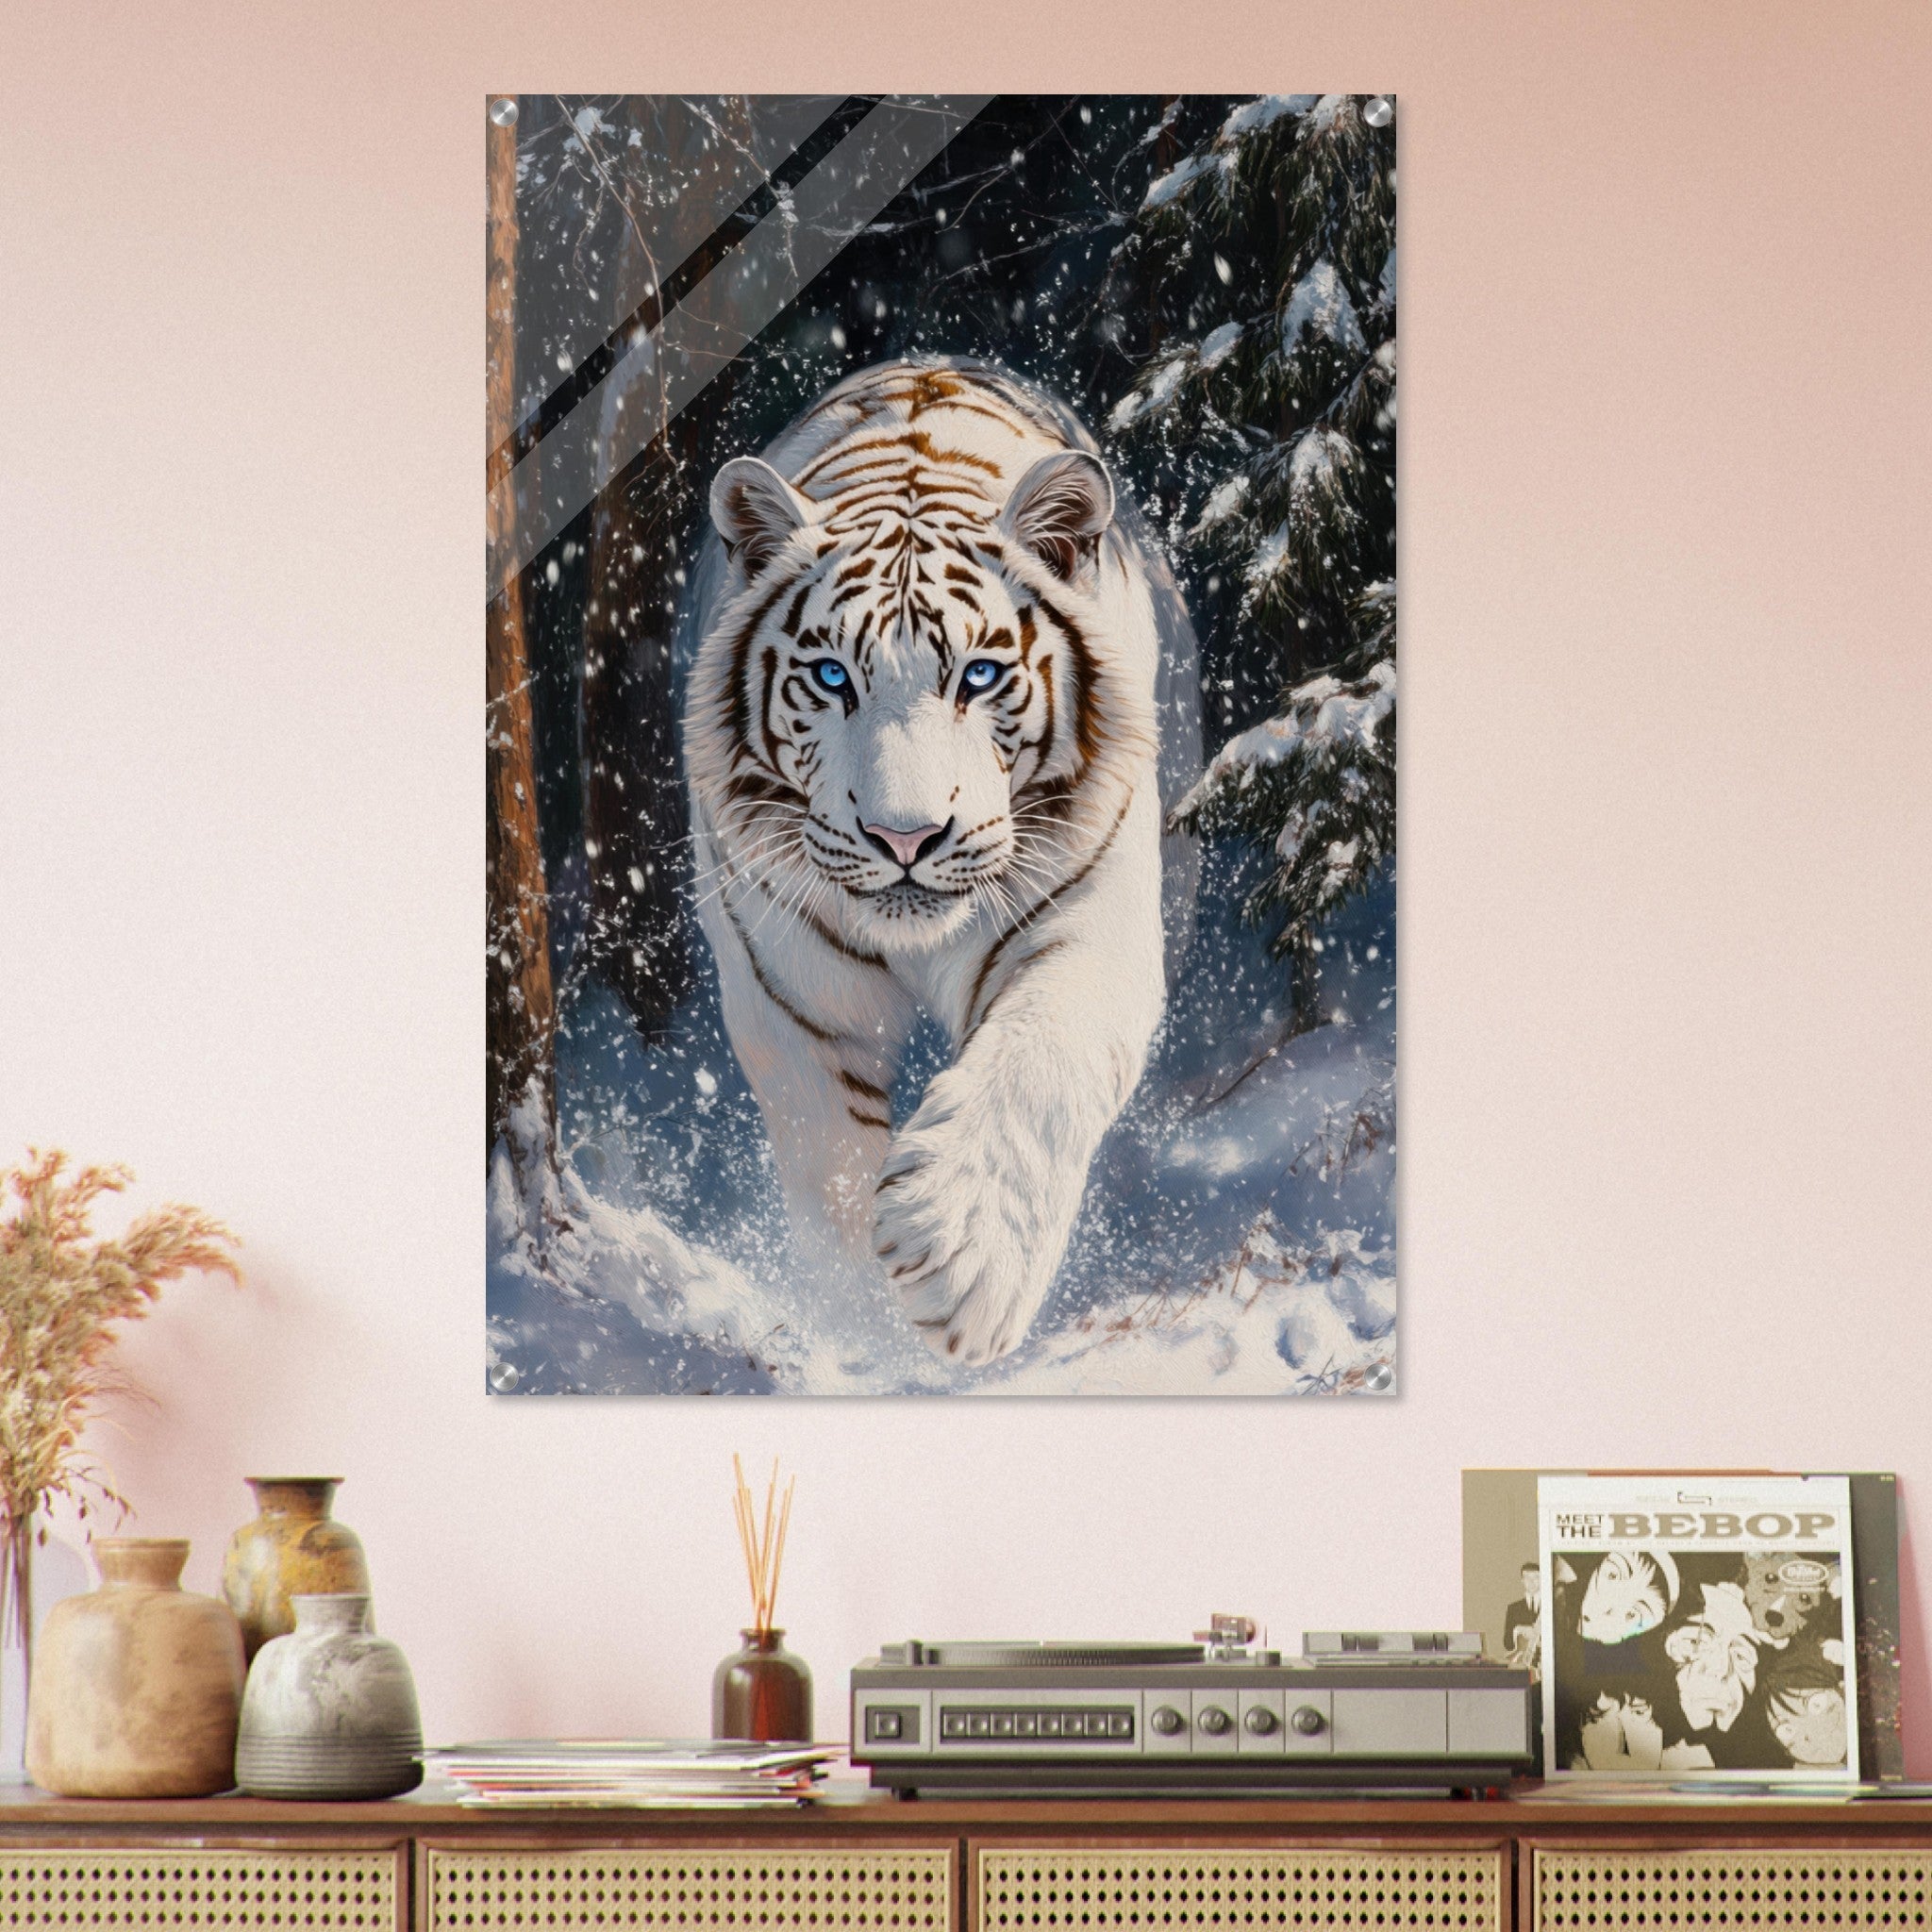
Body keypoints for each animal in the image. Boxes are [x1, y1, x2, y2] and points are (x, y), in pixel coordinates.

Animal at [683, 356, 1170, 1366]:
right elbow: (825, 1156)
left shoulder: (1092, 925)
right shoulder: (787, 989)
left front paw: (961, 1257)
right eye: (831, 677)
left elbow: (1040, 1066)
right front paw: (868, 1324)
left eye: (978, 675)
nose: (904, 838)